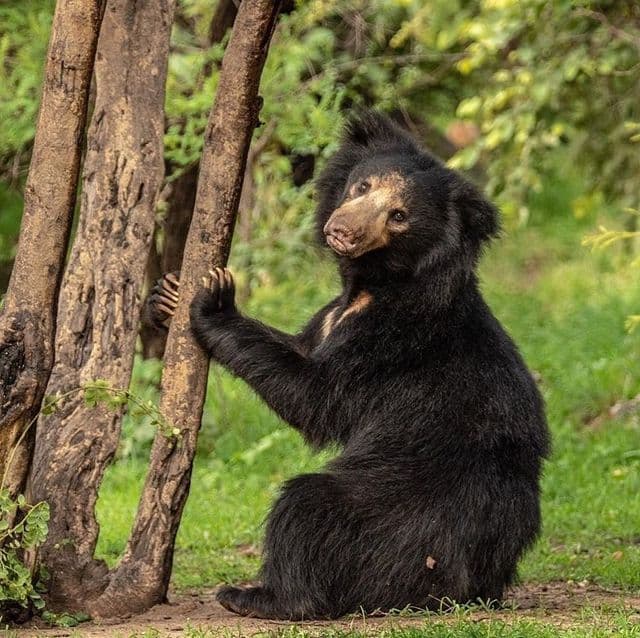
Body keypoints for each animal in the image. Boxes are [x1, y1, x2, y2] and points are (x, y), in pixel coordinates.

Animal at [147, 111, 549, 620]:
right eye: (362, 186)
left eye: (398, 216)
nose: (341, 230)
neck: (371, 285)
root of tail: (471, 585)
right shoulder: (330, 315)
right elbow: (299, 347)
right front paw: (166, 294)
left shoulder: (391, 338)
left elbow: (317, 395)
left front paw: (214, 300)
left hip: (397, 517)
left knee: (307, 509)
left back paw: (255, 595)